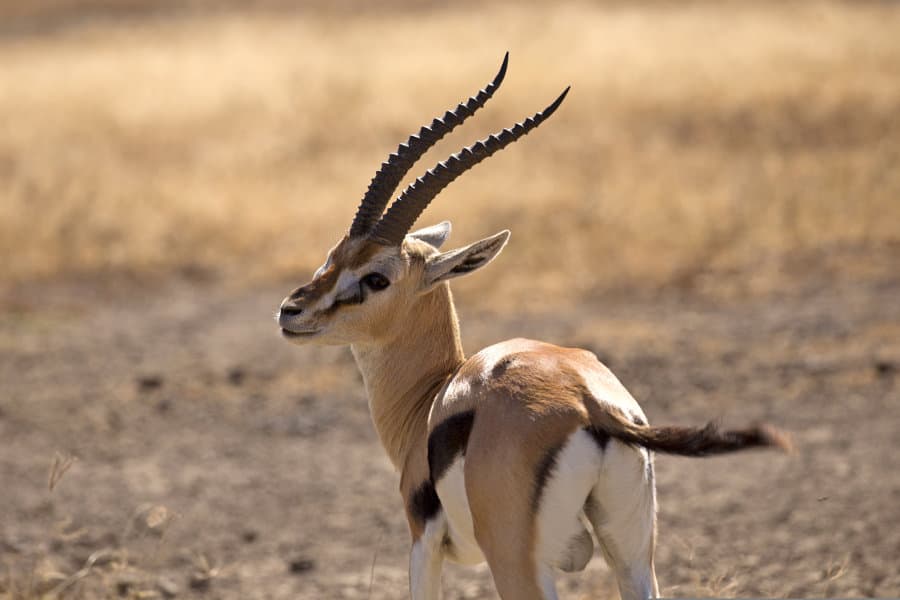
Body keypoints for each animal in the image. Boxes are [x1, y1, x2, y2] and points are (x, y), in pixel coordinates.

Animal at [277, 54, 791, 600]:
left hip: (517, 561)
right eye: (333, 254)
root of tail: (589, 405)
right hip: (633, 554)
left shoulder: (423, 545)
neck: (432, 399)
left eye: (376, 277)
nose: (292, 311)